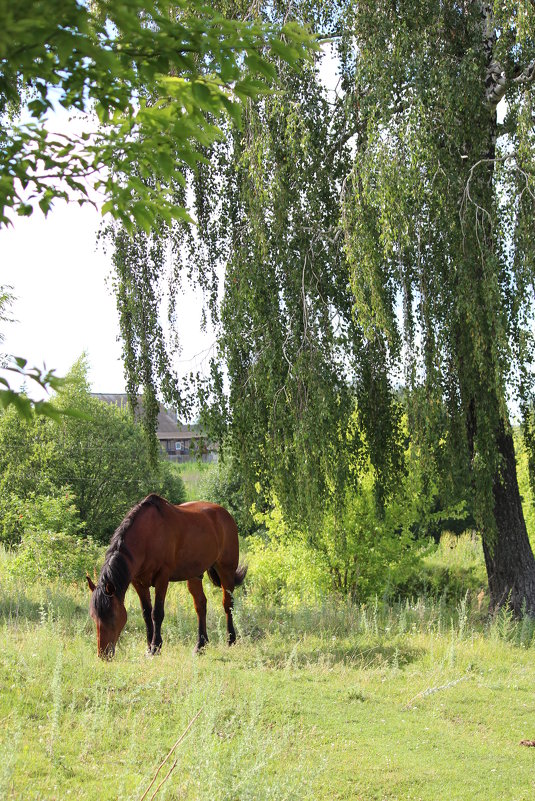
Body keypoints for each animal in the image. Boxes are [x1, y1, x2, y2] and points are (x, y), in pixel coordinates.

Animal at [86, 494, 247, 656]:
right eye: (93, 616)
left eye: (112, 616)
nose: (103, 654)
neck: (147, 536)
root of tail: (225, 514)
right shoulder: (138, 582)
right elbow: (146, 613)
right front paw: (149, 647)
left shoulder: (162, 578)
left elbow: (157, 613)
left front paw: (155, 647)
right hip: (194, 574)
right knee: (201, 605)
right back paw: (200, 645)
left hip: (226, 570)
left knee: (228, 604)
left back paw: (231, 640)